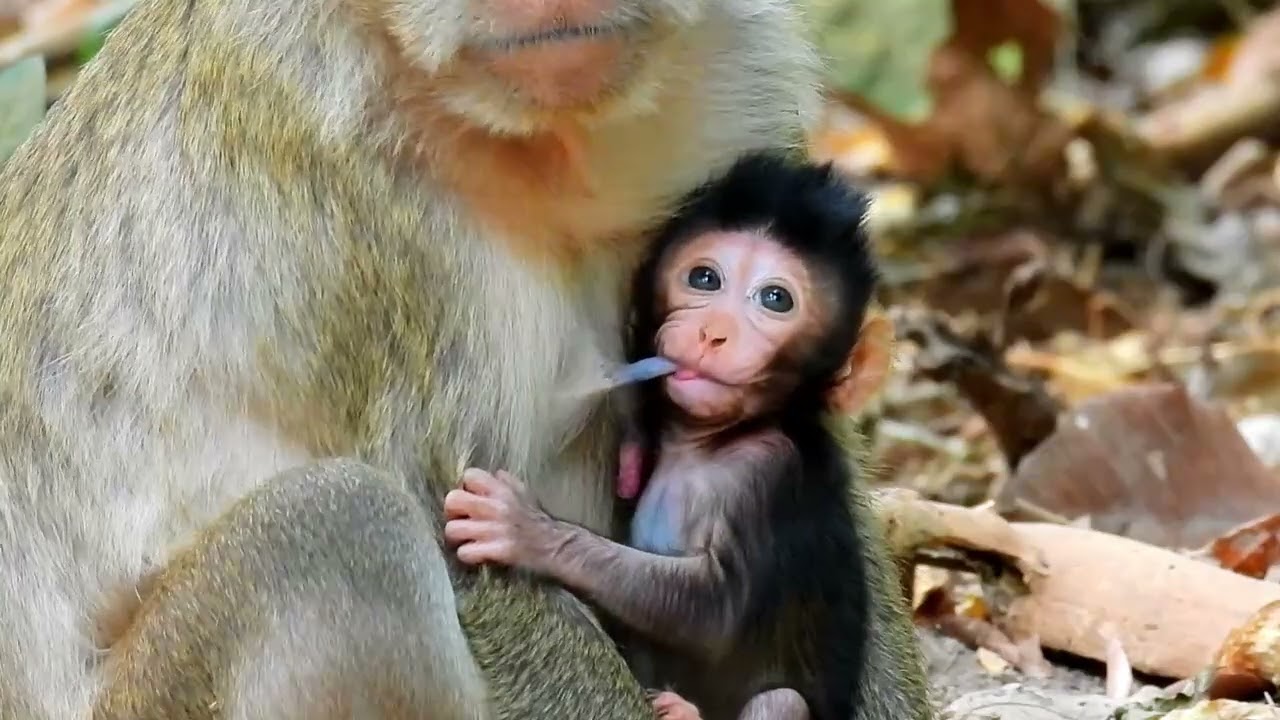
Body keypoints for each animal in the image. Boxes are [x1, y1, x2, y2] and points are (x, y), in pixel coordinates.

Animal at [443, 151, 897, 720]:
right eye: (704, 278)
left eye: (776, 299)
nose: (713, 332)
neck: (713, 443)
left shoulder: (768, 474)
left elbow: (713, 613)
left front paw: (527, 531)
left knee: (781, 700)